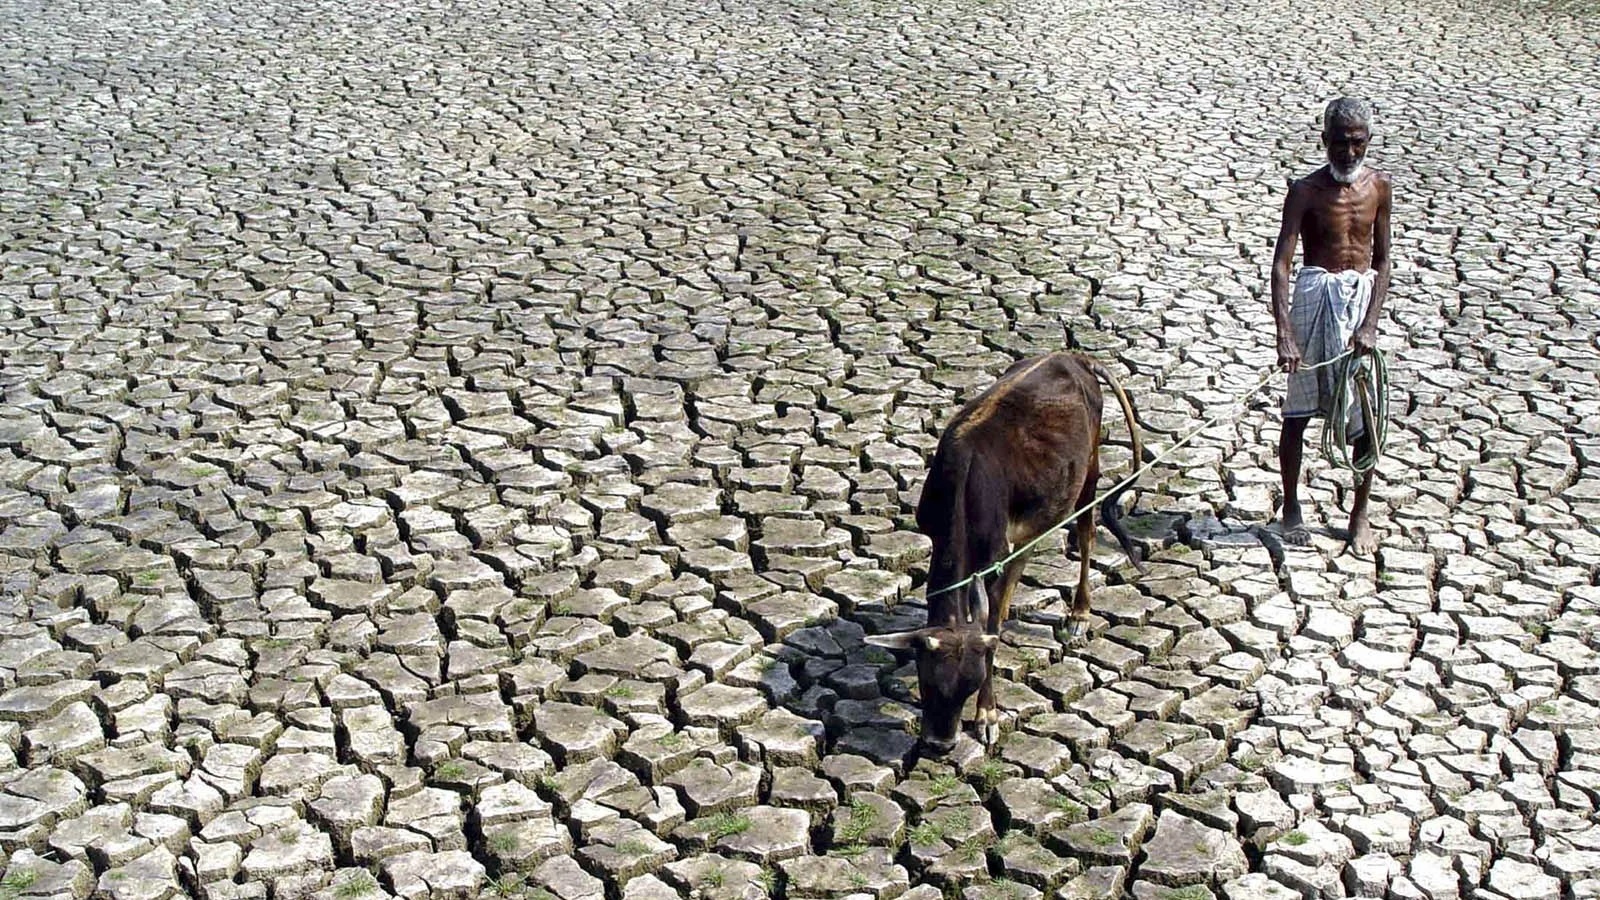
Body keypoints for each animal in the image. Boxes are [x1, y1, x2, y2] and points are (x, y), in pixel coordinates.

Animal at [870, 350, 1145, 749]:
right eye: (927, 682)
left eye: (969, 688)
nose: (940, 745)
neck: (965, 482)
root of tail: (1074, 356)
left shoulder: (994, 556)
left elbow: (992, 625)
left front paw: (987, 716)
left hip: (1089, 470)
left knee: (1086, 532)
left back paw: (1079, 614)